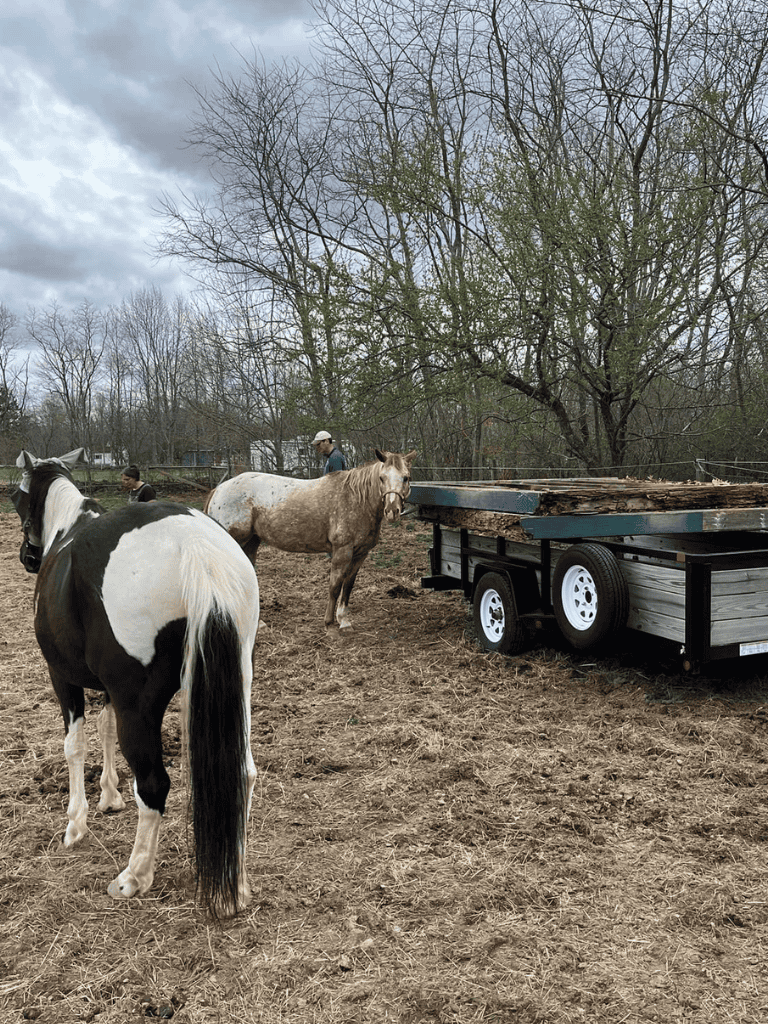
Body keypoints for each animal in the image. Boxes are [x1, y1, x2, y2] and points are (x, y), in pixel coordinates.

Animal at [11, 448, 260, 918]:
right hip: (237, 684)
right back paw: (236, 884)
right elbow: (105, 730)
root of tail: (192, 543)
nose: (27, 556)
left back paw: (134, 877)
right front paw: (109, 797)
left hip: (138, 705)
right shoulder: (109, 692)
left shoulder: (63, 678)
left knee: (154, 783)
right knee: (243, 773)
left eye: (16, 498)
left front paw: (76, 824)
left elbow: (75, 745)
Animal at [204, 448, 417, 629]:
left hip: (250, 543)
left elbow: (348, 586)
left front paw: (344, 620)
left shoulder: (360, 554)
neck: (357, 500)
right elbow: (335, 585)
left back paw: (258, 623)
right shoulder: (342, 551)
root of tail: (219, 489)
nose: (392, 511)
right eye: (382, 478)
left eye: (406, 478)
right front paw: (329, 622)